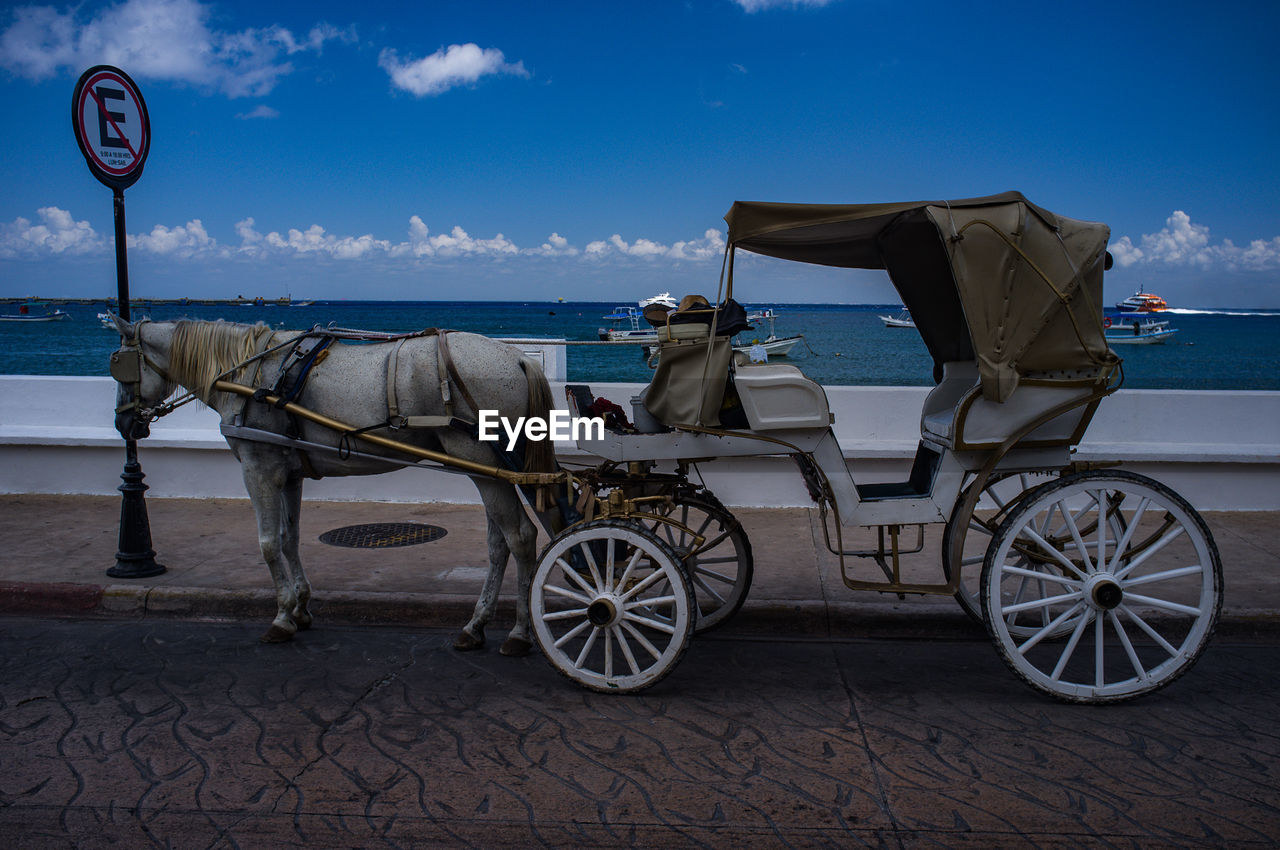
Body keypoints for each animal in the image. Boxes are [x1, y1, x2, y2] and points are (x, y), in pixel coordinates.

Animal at [112, 314, 563, 652]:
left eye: (121, 367)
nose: (125, 424)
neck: (247, 374)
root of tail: (519, 359)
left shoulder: (259, 467)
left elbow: (268, 543)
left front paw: (281, 616)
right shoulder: (289, 471)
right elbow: (289, 539)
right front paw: (300, 608)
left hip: (481, 462)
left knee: (521, 537)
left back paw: (520, 632)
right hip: (490, 466)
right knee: (499, 543)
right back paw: (476, 625)